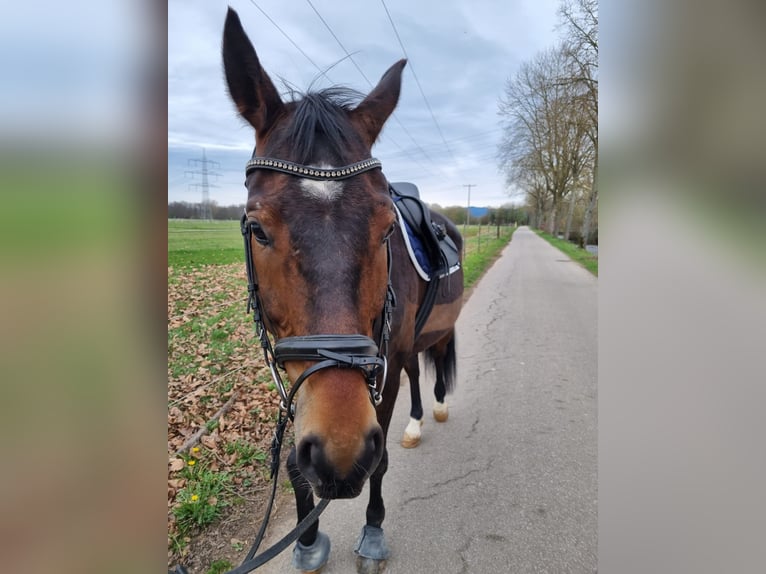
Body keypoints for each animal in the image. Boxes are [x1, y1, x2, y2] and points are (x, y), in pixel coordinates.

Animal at [222, 7, 462, 572]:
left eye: (385, 228)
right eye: (256, 228)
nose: (341, 447)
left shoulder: (379, 372)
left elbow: (380, 462)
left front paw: (372, 532)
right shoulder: (295, 378)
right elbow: (294, 464)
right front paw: (307, 541)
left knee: (435, 360)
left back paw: (437, 409)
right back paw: (416, 423)